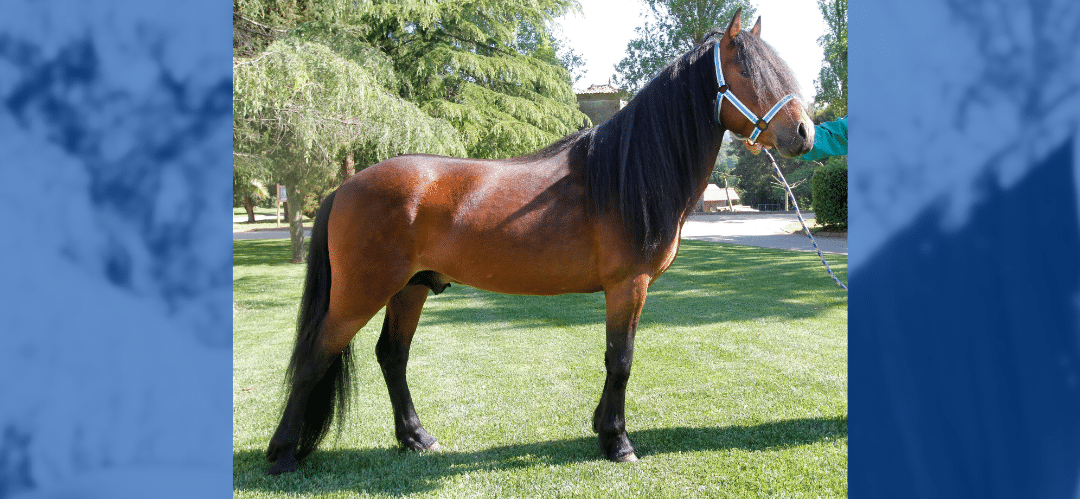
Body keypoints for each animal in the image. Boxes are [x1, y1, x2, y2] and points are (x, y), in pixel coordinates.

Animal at [267, 8, 812, 475]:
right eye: (747, 72)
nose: (804, 134)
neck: (623, 176)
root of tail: (344, 188)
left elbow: (615, 359)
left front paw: (601, 429)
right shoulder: (628, 285)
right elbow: (621, 360)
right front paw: (618, 441)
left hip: (410, 289)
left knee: (391, 356)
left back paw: (417, 439)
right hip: (361, 293)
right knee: (316, 356)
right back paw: (283, 455)